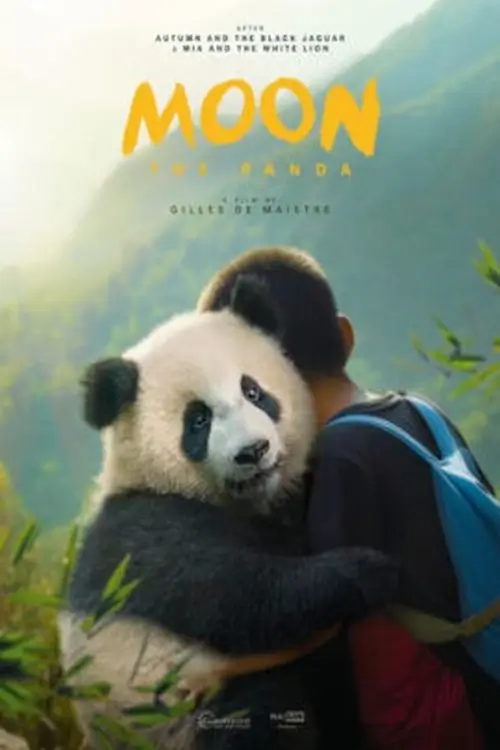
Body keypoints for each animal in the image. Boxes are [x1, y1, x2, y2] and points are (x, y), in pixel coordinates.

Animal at [58, 276, 398, 750]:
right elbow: (234, 593)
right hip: (184, 704)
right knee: (259, 711)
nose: (253, 451)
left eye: (253, 391)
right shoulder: (144, 530)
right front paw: (367, 570)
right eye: (198, 420)